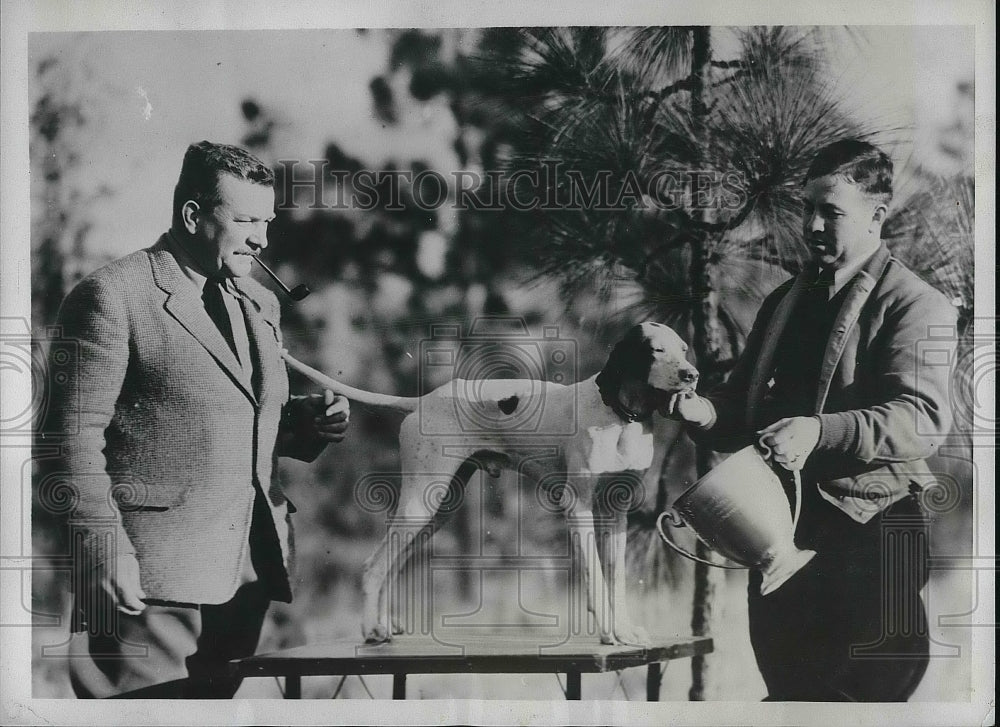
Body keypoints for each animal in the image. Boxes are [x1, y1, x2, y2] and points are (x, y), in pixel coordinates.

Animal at [286, 322, 700, 644]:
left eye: (683, 349)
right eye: (655, 350)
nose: (692, 374)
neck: (619, 416)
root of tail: (422, 401)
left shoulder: (617, 514)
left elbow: (617, 583)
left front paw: (626, 631)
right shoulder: (579, 508)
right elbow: (597, 580)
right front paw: (609, 633)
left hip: (437, 511)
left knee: (391, 563)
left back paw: (385, 624)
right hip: (421, 503)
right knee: (374, 565)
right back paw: (372, 630)